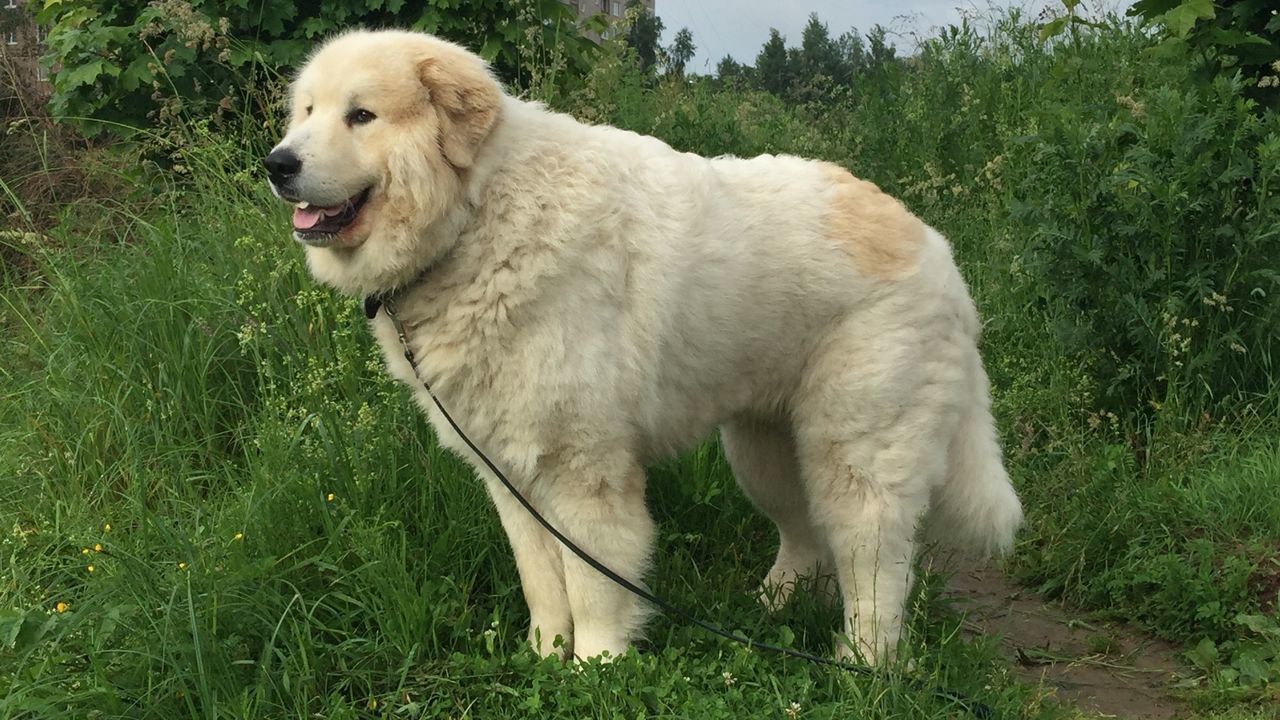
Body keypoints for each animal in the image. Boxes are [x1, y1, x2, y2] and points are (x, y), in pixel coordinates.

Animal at [267, 29, 1018, 661]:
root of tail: (935, 248)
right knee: (805, 536)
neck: (476, 217)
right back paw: (773, 606)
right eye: (306, 111)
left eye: (361, 116)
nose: (278, 163)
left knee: (876, 567)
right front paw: (544, 657)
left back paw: (862, 666)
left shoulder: (584, 470)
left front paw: (596, 669)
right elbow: (542, 580)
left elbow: (595, 583)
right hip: (764, 451)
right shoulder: (510, 473)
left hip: (857, 455)